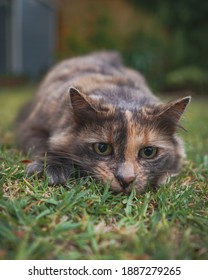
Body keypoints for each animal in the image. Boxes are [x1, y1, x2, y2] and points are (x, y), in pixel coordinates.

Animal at [16, 51, 191, 194]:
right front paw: (53, 168)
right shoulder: (31, 127)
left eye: (148, 152)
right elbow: (44, 145)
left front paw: (163, 179)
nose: (126, 180)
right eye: (102, 148)